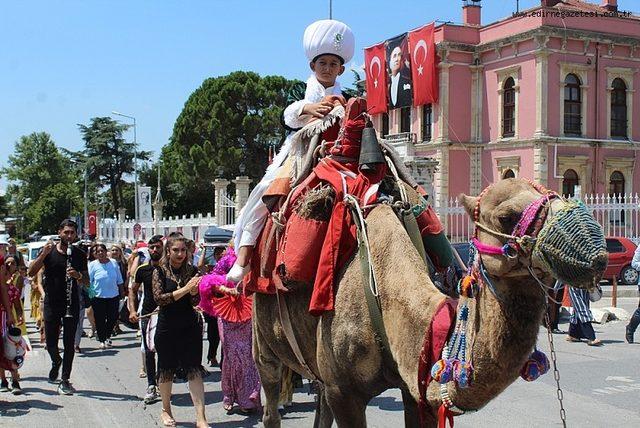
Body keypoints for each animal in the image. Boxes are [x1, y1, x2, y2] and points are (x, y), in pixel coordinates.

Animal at [252, 176, 608, 424]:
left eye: (557, 194)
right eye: (506, 216)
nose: (595, 252)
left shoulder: (414, 387)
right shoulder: (345, 391)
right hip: (264, 342)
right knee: (270, 402)